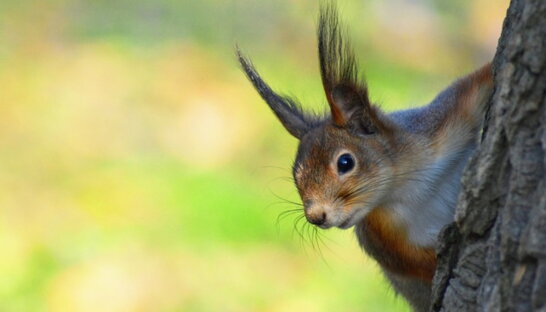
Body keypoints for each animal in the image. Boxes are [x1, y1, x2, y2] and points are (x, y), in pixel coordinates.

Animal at [236, 3, 490, 312]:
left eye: (345, 162)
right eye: (296, 176)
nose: (315, 216)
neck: (408, 185)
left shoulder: (442, 124)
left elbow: (475, 84)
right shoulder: (381, 237)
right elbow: (414, 263)